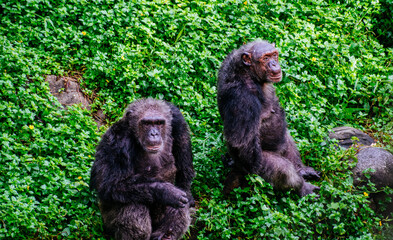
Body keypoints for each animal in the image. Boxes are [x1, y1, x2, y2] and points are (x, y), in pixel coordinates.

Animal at [89, 98, 193, 239]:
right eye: (146, 123)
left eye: (159, 123)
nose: (154, 133)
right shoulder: (115, 142)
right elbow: (109, 184)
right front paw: (167, 192)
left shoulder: (179, 122)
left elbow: (184, 165)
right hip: (108, 222)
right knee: (132, 204)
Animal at [216, 39, 320, 197]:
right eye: (265, 58)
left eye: (274, 55)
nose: (274, 64)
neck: (249, 74)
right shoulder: (242, 98)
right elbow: (241, 142)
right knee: (283, 170)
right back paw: (303, 187)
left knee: (286, 138)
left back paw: (301, 169)